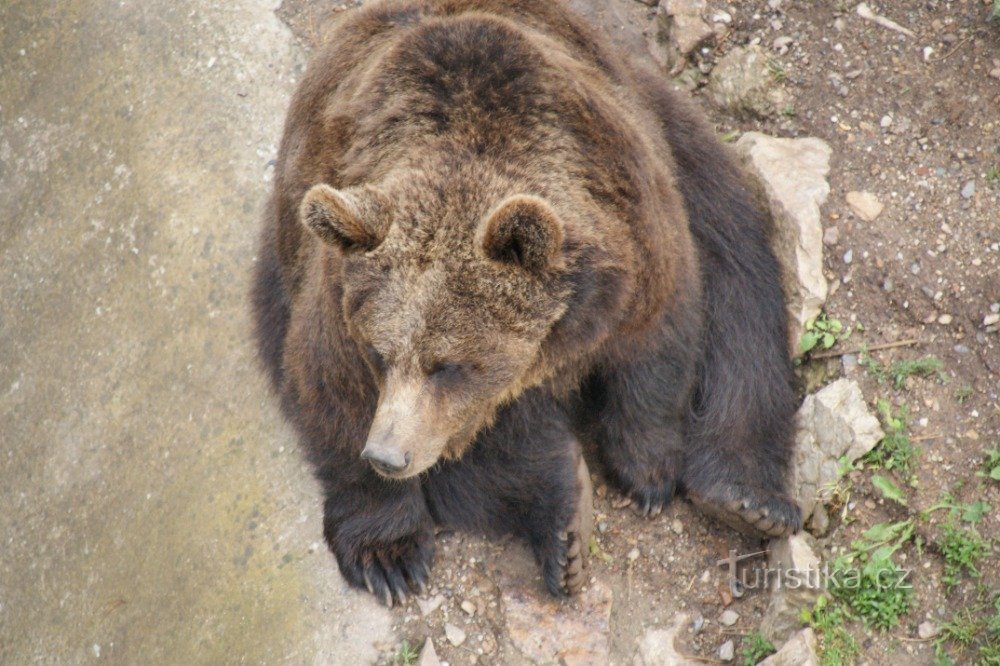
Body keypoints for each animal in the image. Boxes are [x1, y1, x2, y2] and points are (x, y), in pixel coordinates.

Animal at [252, 0, 804, 600]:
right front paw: (389, 555)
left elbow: (660, 340)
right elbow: (332, 388)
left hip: (677, 140)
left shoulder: (634, 229)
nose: (389, 455)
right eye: (379, 353)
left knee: (740, 276)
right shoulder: (337, 294)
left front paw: (648, 470)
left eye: (447, 364)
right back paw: (564, 520)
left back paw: (746, 498)